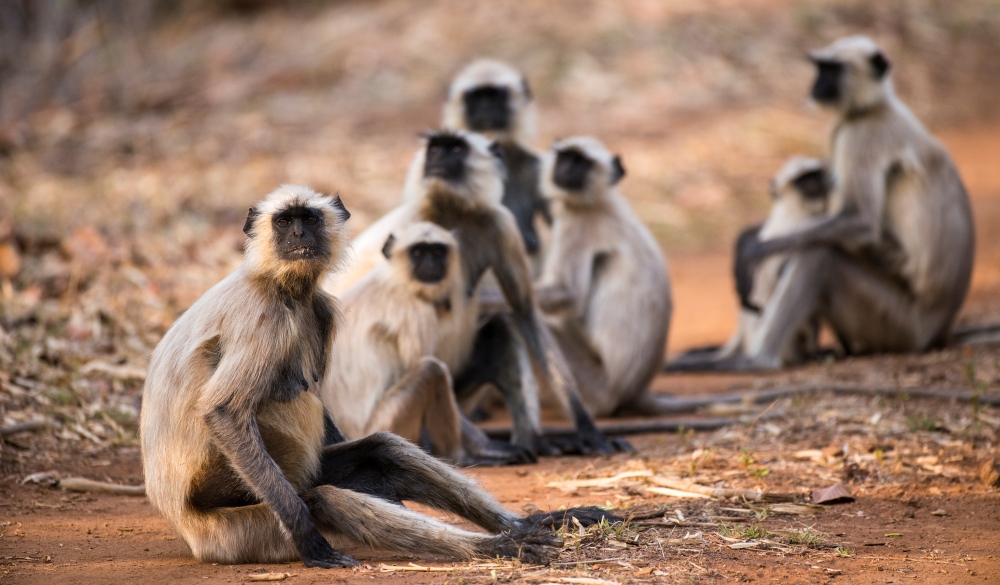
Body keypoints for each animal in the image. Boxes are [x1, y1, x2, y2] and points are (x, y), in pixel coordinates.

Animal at [324, 220, 536, 466]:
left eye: (437, 252)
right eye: (417, 253)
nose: (430, 264)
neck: (397, 282)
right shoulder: (414, 312)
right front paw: (487, 448)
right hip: (386, 422)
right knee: (432, 370)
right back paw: (461, 456)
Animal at [536, 137, 676, 416]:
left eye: (582, 163)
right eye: (565, 157)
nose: (567, 170)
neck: (595, 202)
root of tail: (633, 390)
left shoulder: (577, 224)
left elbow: (569, 294)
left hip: (594, 386)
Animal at [732, 35, 972, 370]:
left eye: (831, 70)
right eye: (820, 68)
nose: (816, 84)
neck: (874, 109)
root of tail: (939, 330)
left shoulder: (859, 135)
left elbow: (861, 222)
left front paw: (754, 249)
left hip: (897, 323)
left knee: (821, 254)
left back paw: (761, 359)